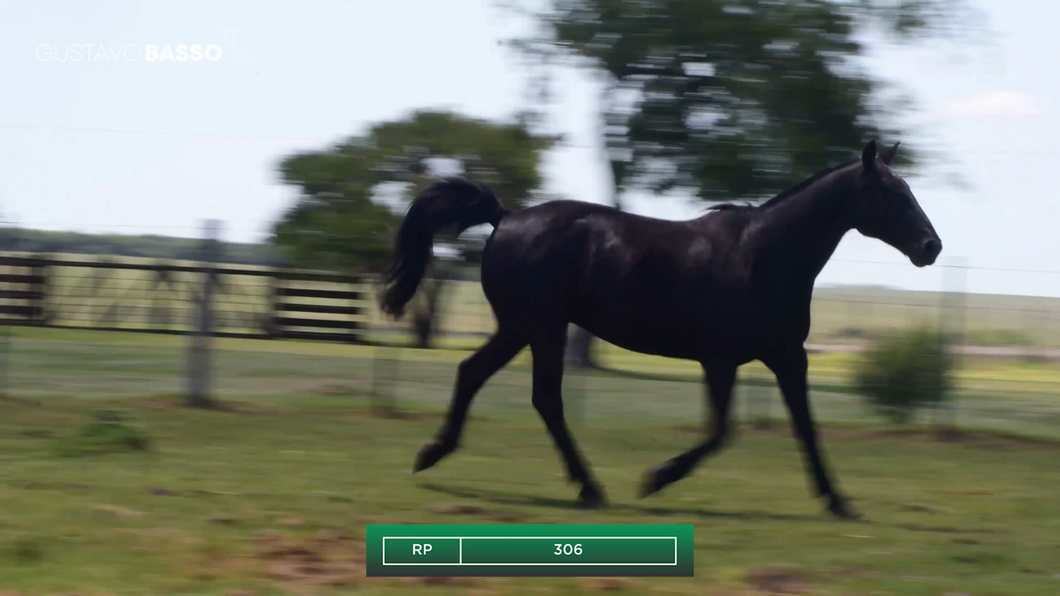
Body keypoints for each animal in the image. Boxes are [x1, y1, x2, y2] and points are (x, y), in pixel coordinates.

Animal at [377, 137, 941, 515]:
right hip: (541, 327)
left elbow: (804, 426)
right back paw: (589, 488)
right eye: (891, 193)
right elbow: (720, 431)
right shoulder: (721, 360)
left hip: (521, 328)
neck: (762, 255)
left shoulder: (786, 356)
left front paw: (838, 501)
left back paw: (433, 454)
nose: (930, 246)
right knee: (544, 398)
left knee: (476, 375)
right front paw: (655, 478)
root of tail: (506, 217)